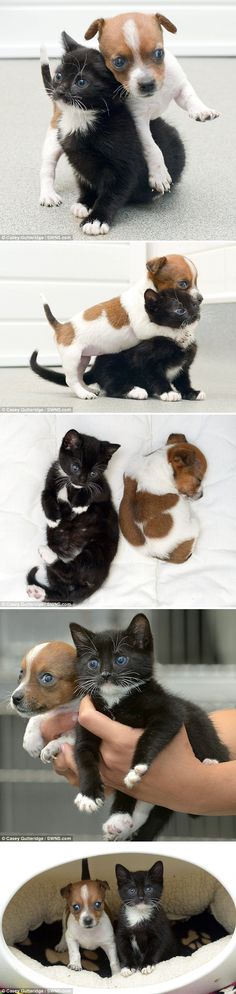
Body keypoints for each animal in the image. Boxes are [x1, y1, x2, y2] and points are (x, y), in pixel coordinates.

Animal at [27, 422, 120, 600]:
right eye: (75, 467)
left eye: (93, 473)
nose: (81, 481)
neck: (69, 484)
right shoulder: (51, 478)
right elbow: (45, 495)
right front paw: (53, 518)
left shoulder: (103, 488)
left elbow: (93, 489)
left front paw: (79, 504)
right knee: (63, 593)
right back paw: (38, 592)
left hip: (96, 550)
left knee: (72, 571)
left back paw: (47, 555)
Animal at [40, 32, 184, 234]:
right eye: (59, 75)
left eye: (81, 82)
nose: (59, 91)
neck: (82, 118)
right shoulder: (78, 162)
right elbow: (85, 183)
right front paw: (84, 203)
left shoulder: (124, 163)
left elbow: (112, 193)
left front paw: (96, 219)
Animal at [41, 254, 203, 402]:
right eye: (183, 283)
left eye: (196, 282)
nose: (200, 299)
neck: (145, 290)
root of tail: (61, 327)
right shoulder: (143, 328)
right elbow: (165, 329)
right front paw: (182, 335)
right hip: (72, 358)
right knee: (71, 380)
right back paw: (84, 394)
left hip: (83, 359)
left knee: (80, 377)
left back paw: (89, 389)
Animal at [71, 612, 230, 836]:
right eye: (93, 663)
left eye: (121, 659)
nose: (105, 674)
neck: (115, 702)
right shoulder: (86, 723)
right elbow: (83, 755)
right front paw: (88, 795)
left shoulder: (170, 711)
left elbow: (150, 736)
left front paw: (137, 767)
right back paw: (120, 818)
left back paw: (210, 762)